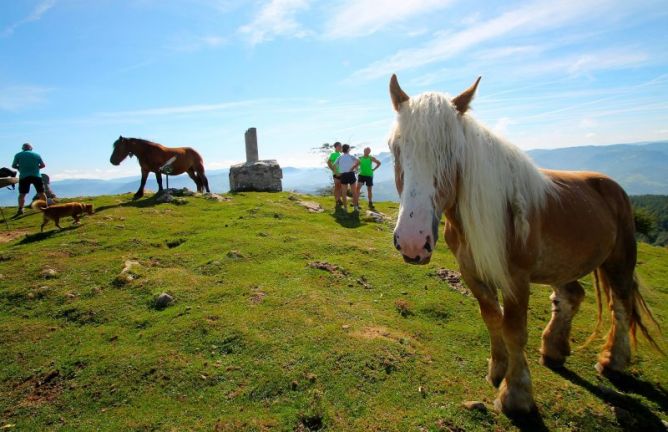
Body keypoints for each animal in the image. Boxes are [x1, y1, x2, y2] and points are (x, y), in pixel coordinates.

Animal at [388, 75, 660, 416]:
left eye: (453, 151)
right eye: (395, 148)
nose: (413, 239)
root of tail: (612, 186)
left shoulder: (516, 279)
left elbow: (514, 330)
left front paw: (516, 394)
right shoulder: (471, 272)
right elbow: (492, 318)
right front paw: (497, 370)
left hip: (620, 259)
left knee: (621, 306)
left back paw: (612, 361)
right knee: (572, 296)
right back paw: (554, 349)